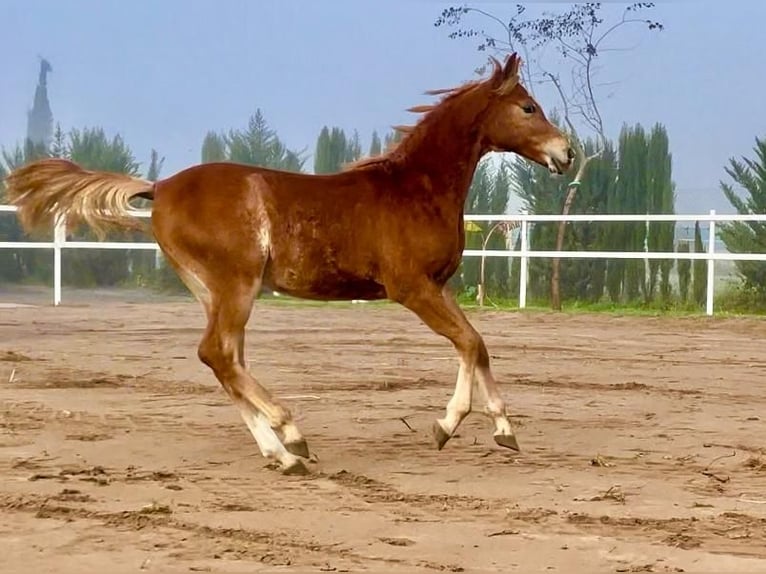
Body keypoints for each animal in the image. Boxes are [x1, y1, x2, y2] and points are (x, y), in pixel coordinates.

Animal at [4, 54, 568, 476]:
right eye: (528, 106)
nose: (566, 153)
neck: (415, 188)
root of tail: (159, 187)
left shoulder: (440, 285)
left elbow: (478, 345)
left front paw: (503, 430)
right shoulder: (412, 288)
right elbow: (469, 342)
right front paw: (448, 426)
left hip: (213, 290)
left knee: (225, 359)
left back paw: (279, 452)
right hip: (236, 283)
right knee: (219, 353)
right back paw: (292, 436)